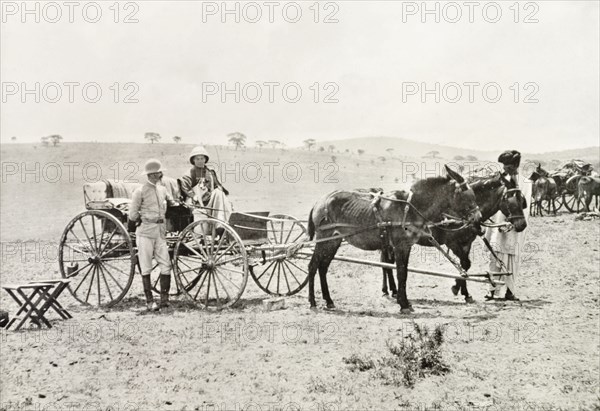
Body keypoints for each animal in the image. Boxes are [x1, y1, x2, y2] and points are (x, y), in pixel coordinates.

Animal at [308, 166, 480, 314]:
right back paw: (312, 302)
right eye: (467, 195)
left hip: (333, 241)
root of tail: (319, 202)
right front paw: (403, 304)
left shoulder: (407, 246)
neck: (410, 208)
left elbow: (404, 273)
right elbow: (401, 273)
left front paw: (406, 302)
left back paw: (328, 301)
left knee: (323, 267)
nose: (478, 219)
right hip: (324, 239)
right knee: (313, 266)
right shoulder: (400, 246)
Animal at [382, 172, 528, 300]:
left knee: (387, 261)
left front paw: (463, 291)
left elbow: (465, 265)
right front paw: (458, 288)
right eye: (511, 199)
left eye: (522, 200)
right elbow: (464, 264)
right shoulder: (452, 243)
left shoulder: (466, 243)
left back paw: (390, 290)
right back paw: (390, 290)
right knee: (386, 262)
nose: (523, 225)